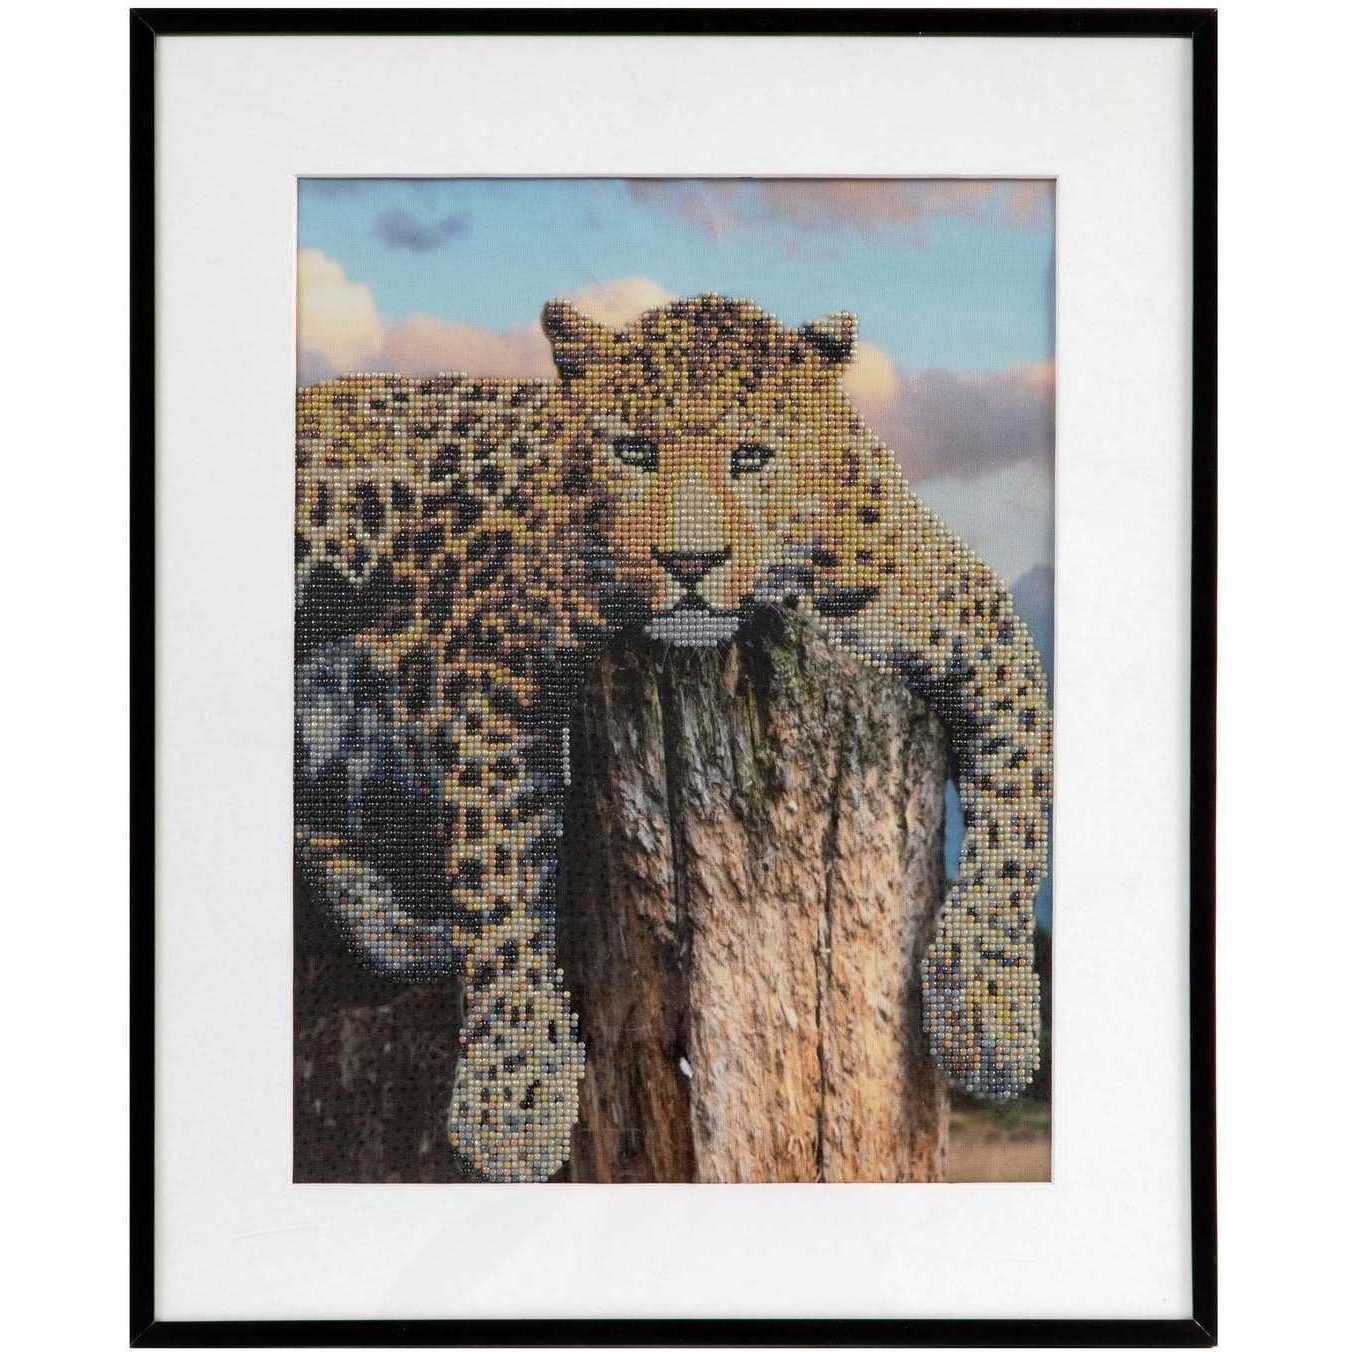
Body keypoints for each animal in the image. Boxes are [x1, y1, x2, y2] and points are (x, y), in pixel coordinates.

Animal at [295, 294, 1052, 1183]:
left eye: (751, 457)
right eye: (633, 451)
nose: (690, 562)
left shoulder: (958, 603)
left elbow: (1023, 794)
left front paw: (990, 1010)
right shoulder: (485, 654)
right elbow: (499, 868)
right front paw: (515, 1096)